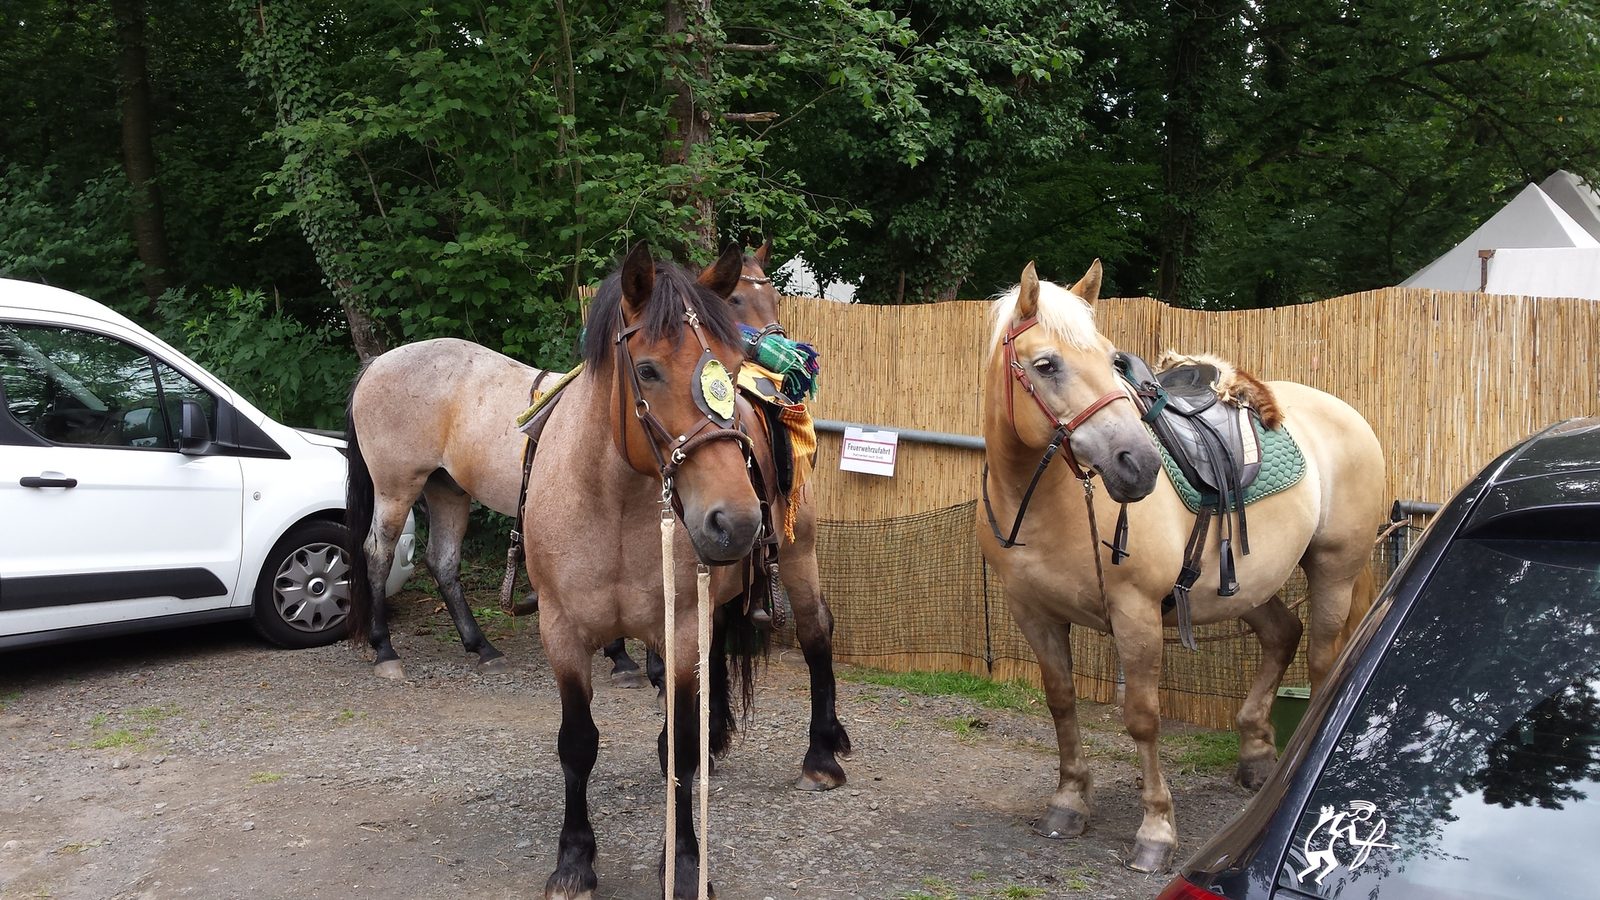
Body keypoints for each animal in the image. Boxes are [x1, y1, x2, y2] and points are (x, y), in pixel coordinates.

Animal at [341, 242, 850, 793]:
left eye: (772, 296)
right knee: (378, 552)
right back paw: (386, 650)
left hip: (447, 490)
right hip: (398, 488)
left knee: (443, 561)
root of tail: (377, 364)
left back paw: (482, 647)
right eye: (737, 299)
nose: (787, 361)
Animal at [977, 260, 1386, 873]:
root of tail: (1343, 412)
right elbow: (1062, 702)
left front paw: (1156, 831)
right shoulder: (1034, 614)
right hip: (1247, 584)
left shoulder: (1136, 615)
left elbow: (1143, 718)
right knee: (1281, 634)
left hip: (1333, 571)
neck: (1047, 504)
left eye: (1110, 357)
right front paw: (1069, 802)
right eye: (1046, 364)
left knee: (1319, 661)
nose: (1138, 464)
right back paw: (1256, 755)